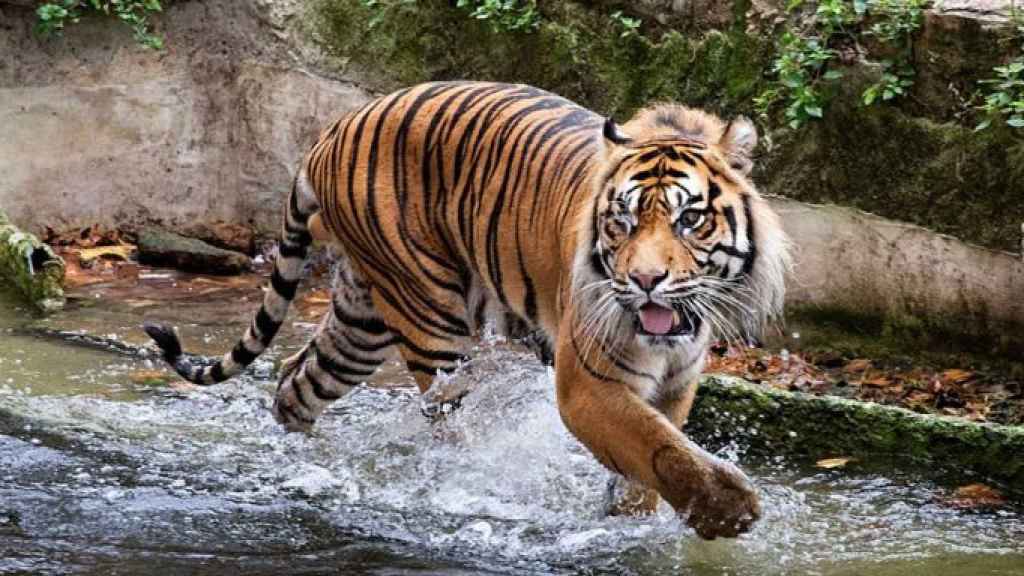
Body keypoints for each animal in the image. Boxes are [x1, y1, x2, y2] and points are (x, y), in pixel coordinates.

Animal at [144, 81, 790, 539]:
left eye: (690, 219)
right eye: (622, 221)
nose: (645, 280)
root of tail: (328, 134)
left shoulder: (676, 380)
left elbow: (653, 459)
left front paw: (632, 520)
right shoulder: (586, 384)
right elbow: (657, 447)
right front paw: (727, 509)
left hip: (361, 322)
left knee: (294, 380)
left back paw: (308, 462)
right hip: (427, 315)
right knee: (450, 425)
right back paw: (450, 488)